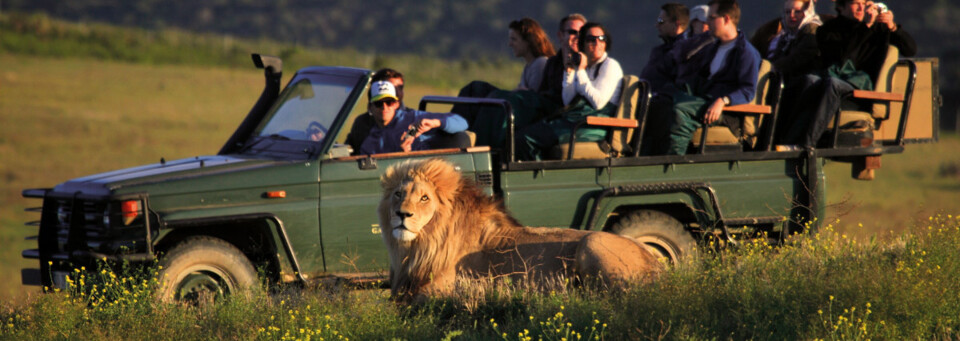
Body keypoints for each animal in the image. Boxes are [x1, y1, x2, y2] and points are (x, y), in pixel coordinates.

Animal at [378, 157, 664, 300]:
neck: (418, 246)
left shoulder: (437, 292)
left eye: (424, 198)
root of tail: (656, 262)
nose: (402, 214)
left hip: (593, 243)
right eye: (398, 194)